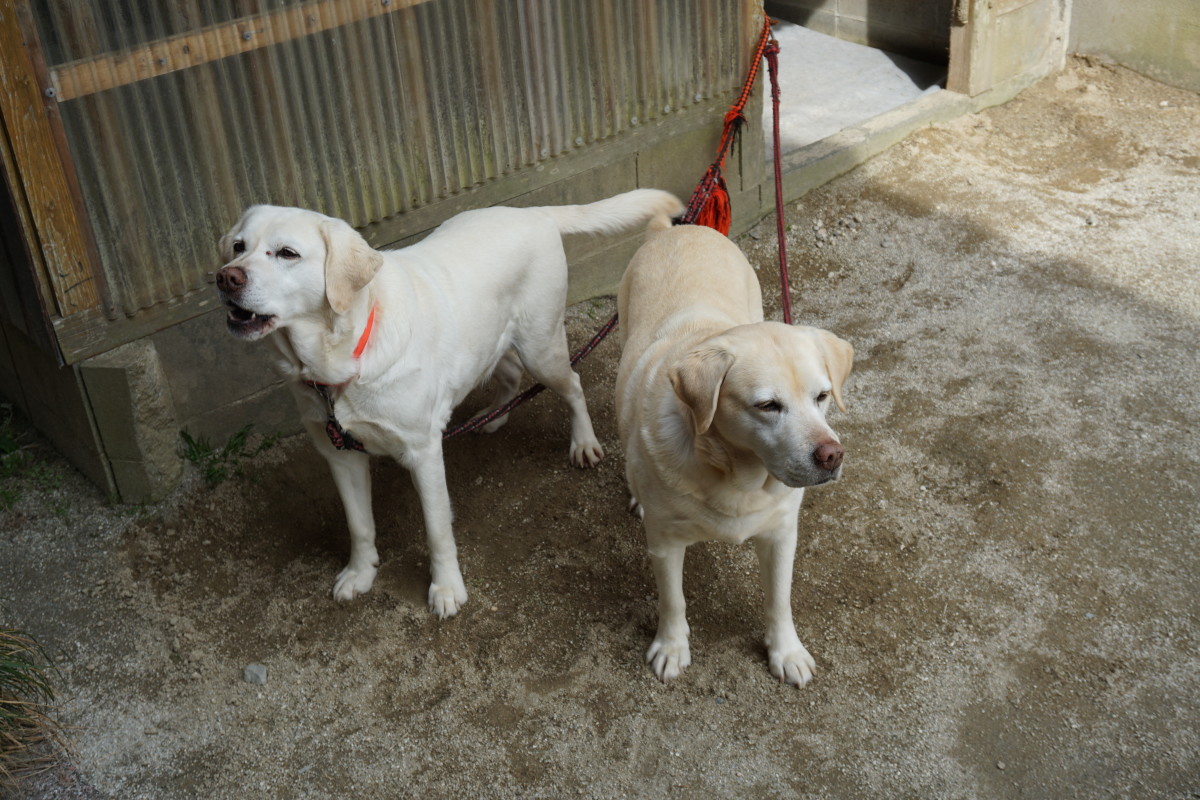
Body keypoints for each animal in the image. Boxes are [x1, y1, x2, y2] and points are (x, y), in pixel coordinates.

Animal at [217, 190, 686, 618]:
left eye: (287, 253)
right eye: (238, 246)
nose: (226, 278)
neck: (340, 357)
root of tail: (532, 212)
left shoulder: (422, 451)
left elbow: (437, 529)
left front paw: (445, 589)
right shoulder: (339, 454)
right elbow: (359, 524)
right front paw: (360, 573)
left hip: (542, 347)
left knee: (572, 383)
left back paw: (583, 442)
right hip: (490, 342)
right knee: (509, 374)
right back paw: (492, 417)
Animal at [619, 217, 854, 690]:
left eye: (822, 396)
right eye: (767, 405)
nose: (831, 456)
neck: (737, 477)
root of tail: (679, 229)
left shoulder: (781, 534)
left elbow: (779, 599)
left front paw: (786, 652)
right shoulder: (665, 543)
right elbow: (673, 601)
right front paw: (671, 647)